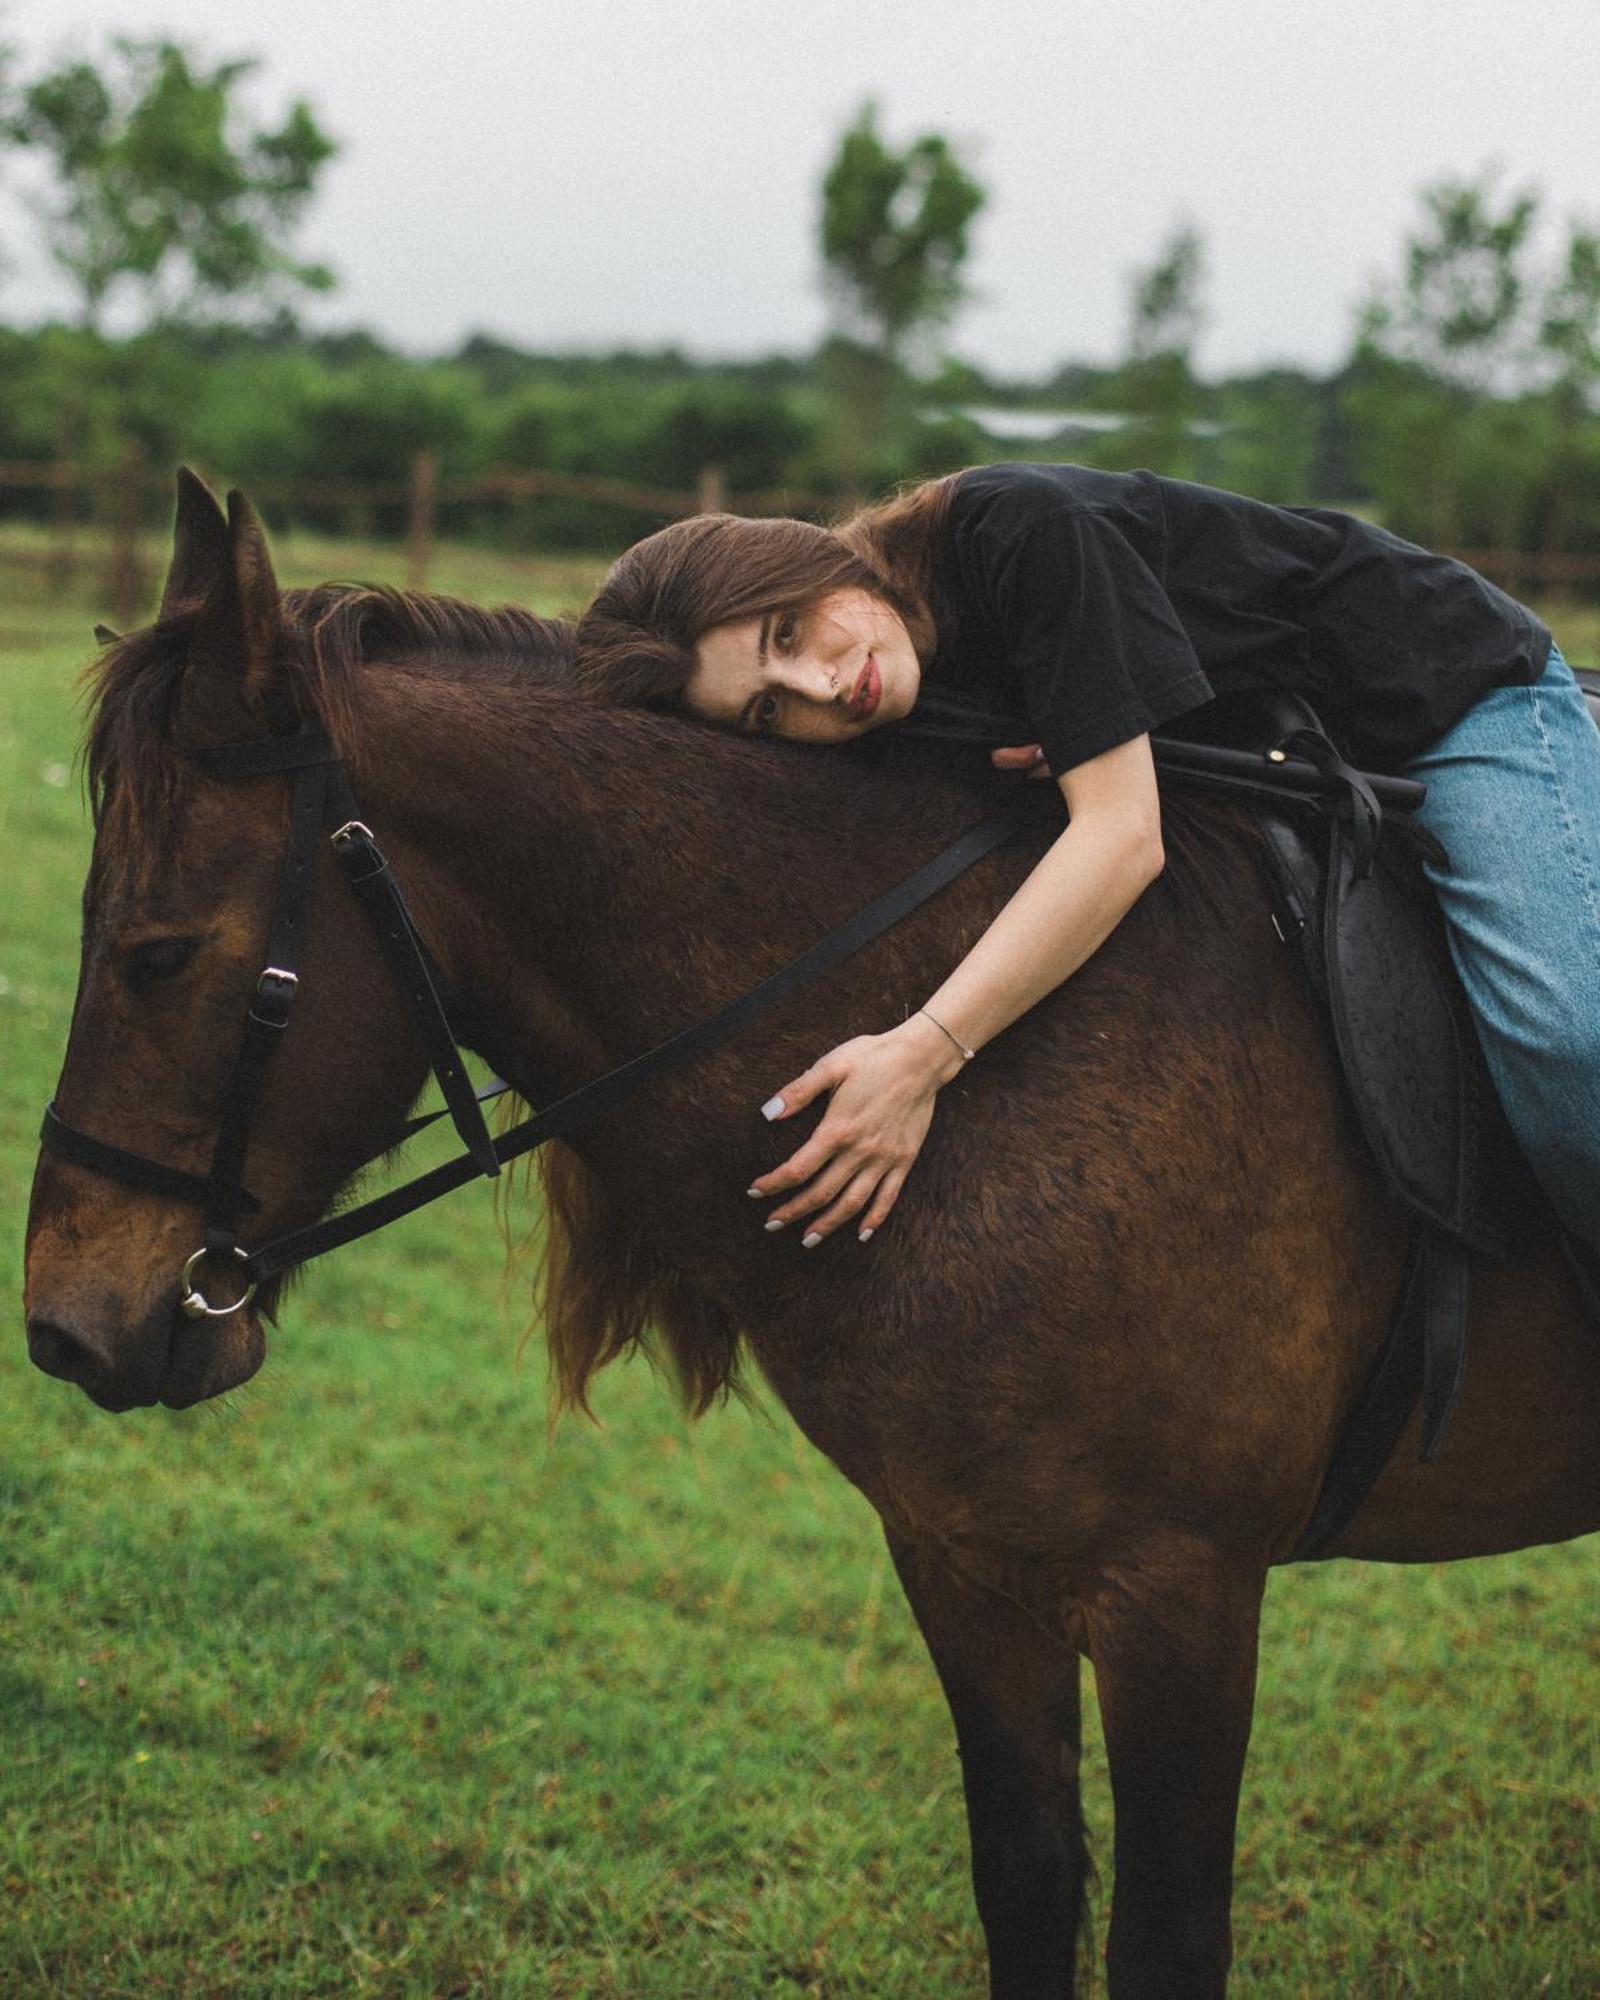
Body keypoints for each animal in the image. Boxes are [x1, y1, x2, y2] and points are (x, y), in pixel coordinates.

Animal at [18, 472, 1600, 2000]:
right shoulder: (965, 1560)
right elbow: (1029, 1886)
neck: (1011, 1067)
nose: (63, 1324)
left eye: (159, 952)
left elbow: (1165, 1941)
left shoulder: (1182, 1588)